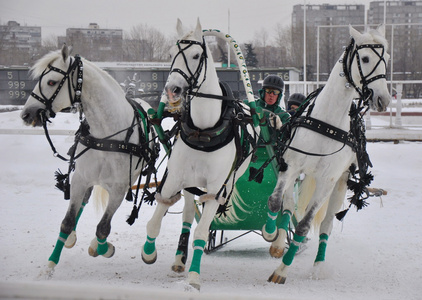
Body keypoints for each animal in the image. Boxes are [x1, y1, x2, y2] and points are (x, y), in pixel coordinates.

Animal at [21, 44, 158, 274]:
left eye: (51, 82)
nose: (26, 114)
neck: (106, 137)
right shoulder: (80, 179)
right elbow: (67, 221)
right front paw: (50, 265)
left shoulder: (119, 188)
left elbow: (102, 228)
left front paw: (103, 248)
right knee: (83, 201)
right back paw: (71, 238)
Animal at [140, 19, 256, 290]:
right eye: (170, 54)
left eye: (195, 55)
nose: (172, 90)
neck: (204, 130)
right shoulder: (174, 179)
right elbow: (155, 220)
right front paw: (149, 252)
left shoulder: (216, 189)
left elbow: (202, 233)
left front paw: (194, 276)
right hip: (189, 183)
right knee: (187, 213)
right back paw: (179, 259)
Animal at [264, 25, 392, 284]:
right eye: (365, 58)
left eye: (387, 60)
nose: (383, 100)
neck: (327, 122)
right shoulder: (290, 166)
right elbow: (275, 201)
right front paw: (271, 234)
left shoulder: (328, 181)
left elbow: (304, 226)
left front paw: (282, 271)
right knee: (288, 206)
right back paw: (279, 240)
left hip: (340, 184)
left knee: (325, 225)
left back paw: (318, 266)